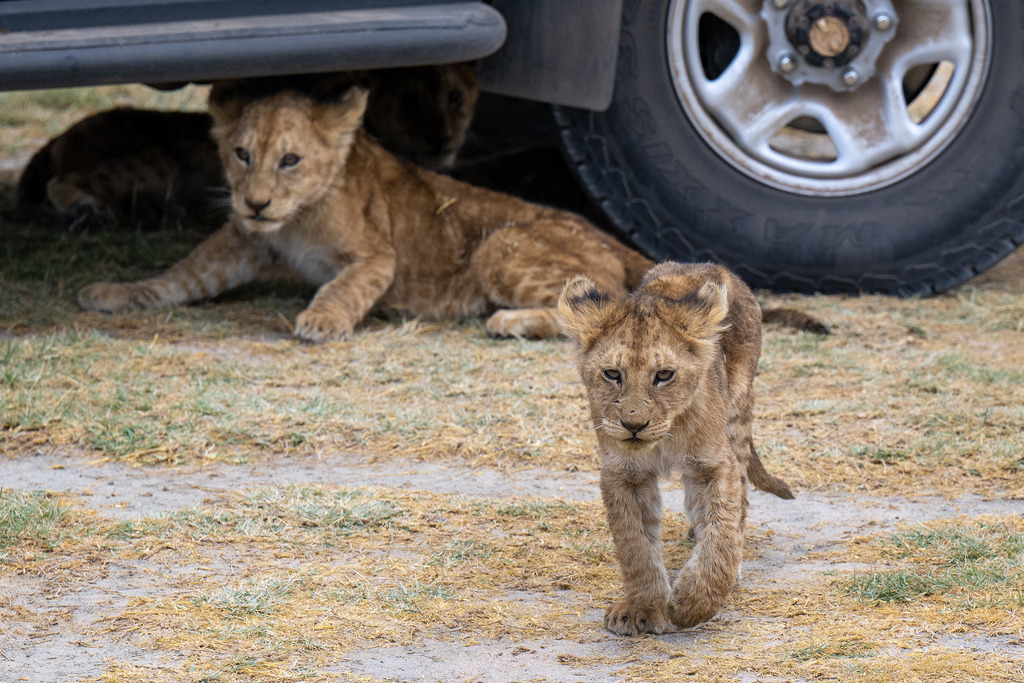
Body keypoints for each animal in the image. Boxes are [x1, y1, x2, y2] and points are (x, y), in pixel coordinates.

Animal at [77, 80, 651, 342]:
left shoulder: (378, 255)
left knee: (605, 307)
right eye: (241, 154)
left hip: (500, 243)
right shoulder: (243, 240)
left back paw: (508, 320)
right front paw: (116, 293)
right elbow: (180, 276)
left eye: (290, 160)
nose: (255, 202)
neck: (295, 219)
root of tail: (603, 233)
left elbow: (343, 285)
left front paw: (322, 320)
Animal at [557, 261, 795, 634]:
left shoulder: (714, 465)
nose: (634, 425)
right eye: (612, 374)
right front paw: (641, 607)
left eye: (664, 375)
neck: (664, 439)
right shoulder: (624, 473)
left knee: (739, 503)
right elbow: (635, 546)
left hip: (738, 415)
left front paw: (693, 604)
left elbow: (722, 532)